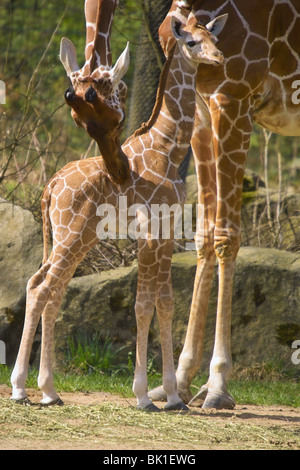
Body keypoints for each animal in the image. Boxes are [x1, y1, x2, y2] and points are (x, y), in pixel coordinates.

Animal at [149, 0, 300, 410]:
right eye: (189, 41)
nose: (215, 58)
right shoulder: (202, 107)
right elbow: (203, 235)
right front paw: (179, 381)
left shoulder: (234, 99)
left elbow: (227, 236)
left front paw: (217, 384)